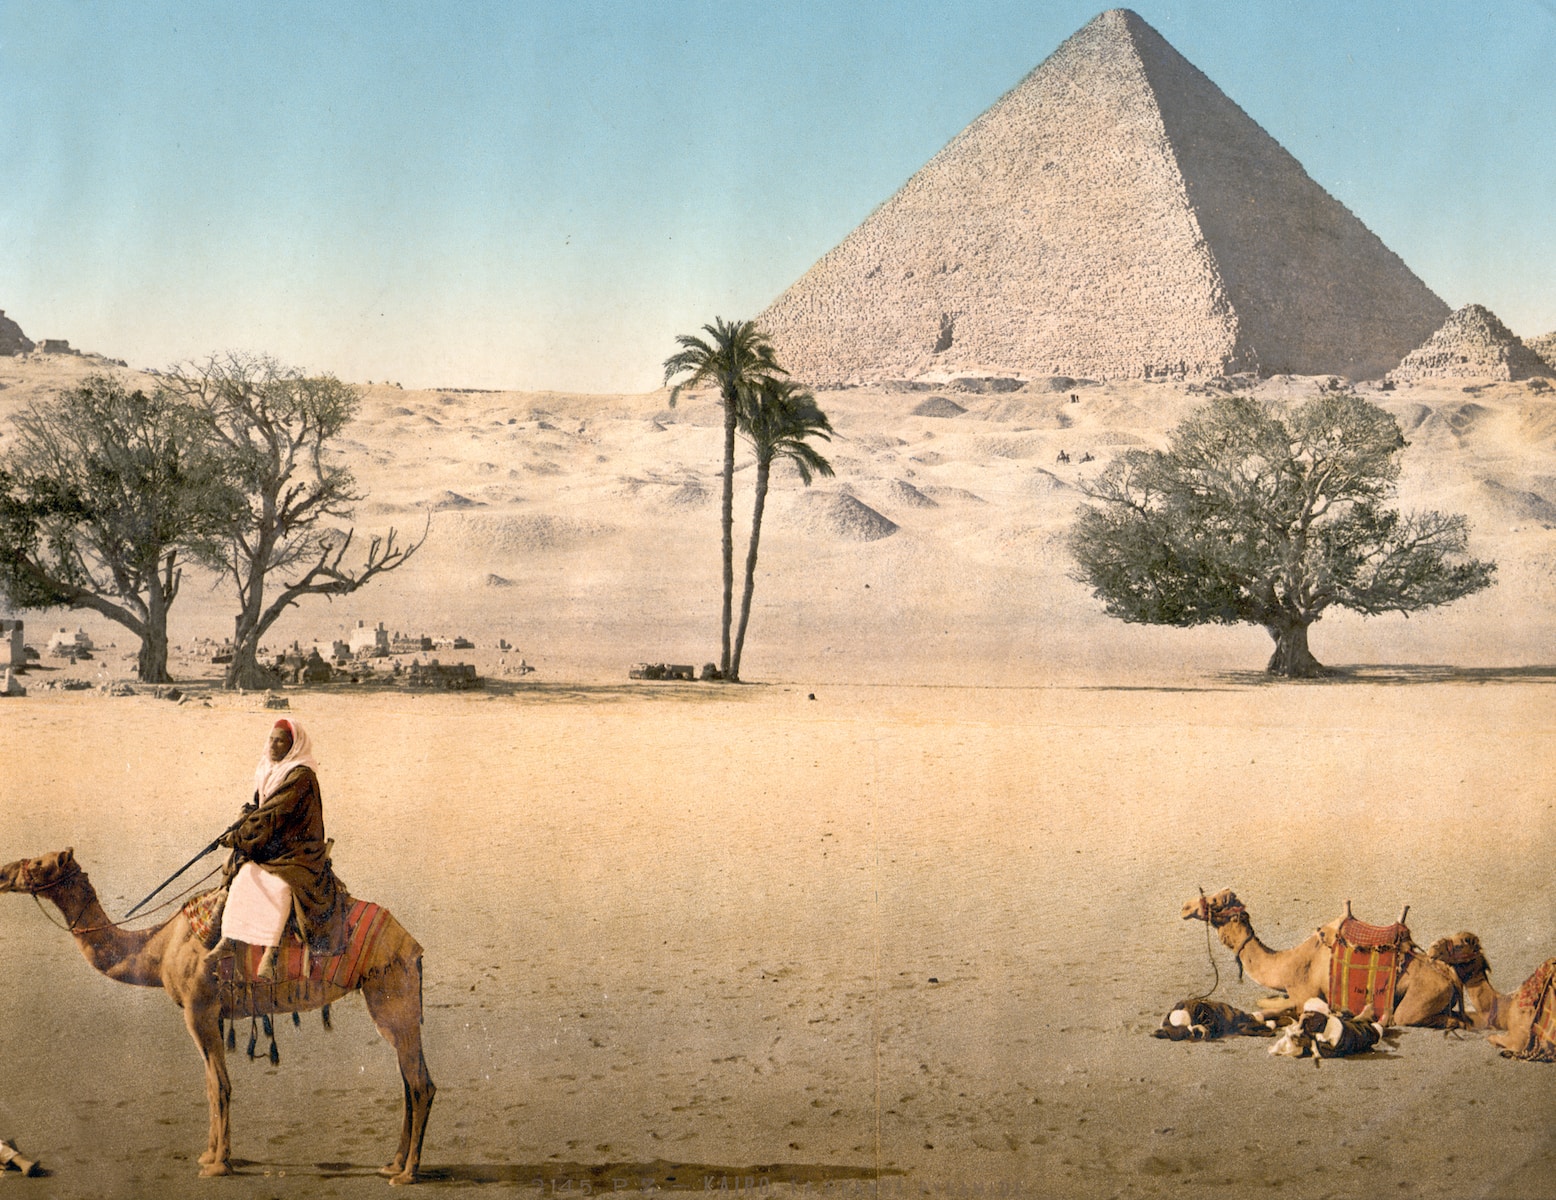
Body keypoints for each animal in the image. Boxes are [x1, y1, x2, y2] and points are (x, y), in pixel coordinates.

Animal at [4, 846, 438, 1189]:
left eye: (39, 862)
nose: (4, 872)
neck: (157, 948)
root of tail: (413, 945)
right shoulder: (209, 1014)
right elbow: (211, 1083)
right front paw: (209, 1155)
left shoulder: (198, 1009)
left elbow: (219, 1085)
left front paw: (217, 1165)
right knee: (409, 1079)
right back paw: (392, 1165)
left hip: (391, 995)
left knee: (420, 1084)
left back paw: (407, 1174)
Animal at [1182, 884, 1462, 1027]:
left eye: (1216, 902)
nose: (1185, 907)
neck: (1287, 964)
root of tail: (1450, 977)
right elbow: (1266, 1001)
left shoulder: (1304, 995)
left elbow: (1276, 1007)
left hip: (1422, 996)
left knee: (1411, 1018)